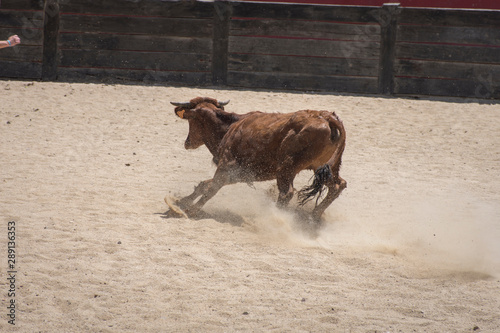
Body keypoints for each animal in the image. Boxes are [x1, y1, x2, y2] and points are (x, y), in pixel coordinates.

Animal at [168, 96, 348, 220]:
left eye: (191, 120)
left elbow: (211, 188)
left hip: (286, 167)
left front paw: (189, 210)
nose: (187, 143)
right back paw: (313, 216)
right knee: (338, 185)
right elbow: (204, 185)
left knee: (286, 193)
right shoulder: (238, 174)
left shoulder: (227, 168)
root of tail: (326, 117)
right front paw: (181, 201)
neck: (230, 127)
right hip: (326, 167)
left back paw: (276, 219)